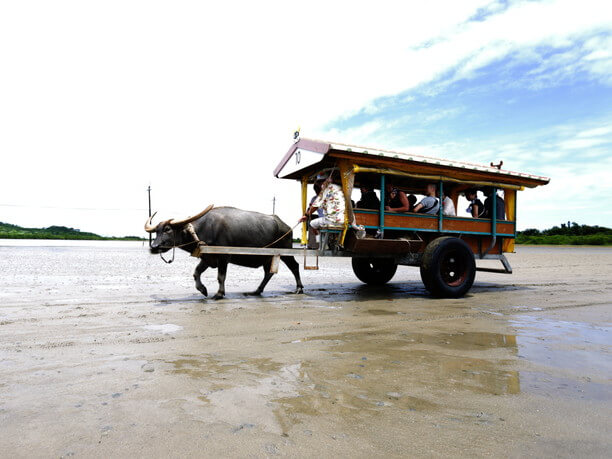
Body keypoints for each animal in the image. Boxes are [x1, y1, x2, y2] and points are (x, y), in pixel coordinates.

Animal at [146, 207, 304, 300]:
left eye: (167, 229)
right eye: (156, 231)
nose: (153, 247)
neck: (203, 230)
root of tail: (286, 226)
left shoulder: (224, 257)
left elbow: (221, 276)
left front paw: (219, 294)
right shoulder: (207, 258)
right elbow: (196, 273)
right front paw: (203, 290)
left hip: (285, 252)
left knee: (294, 266)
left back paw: (299, 289)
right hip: (268, 257)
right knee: (268, 273)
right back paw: (256, 291)